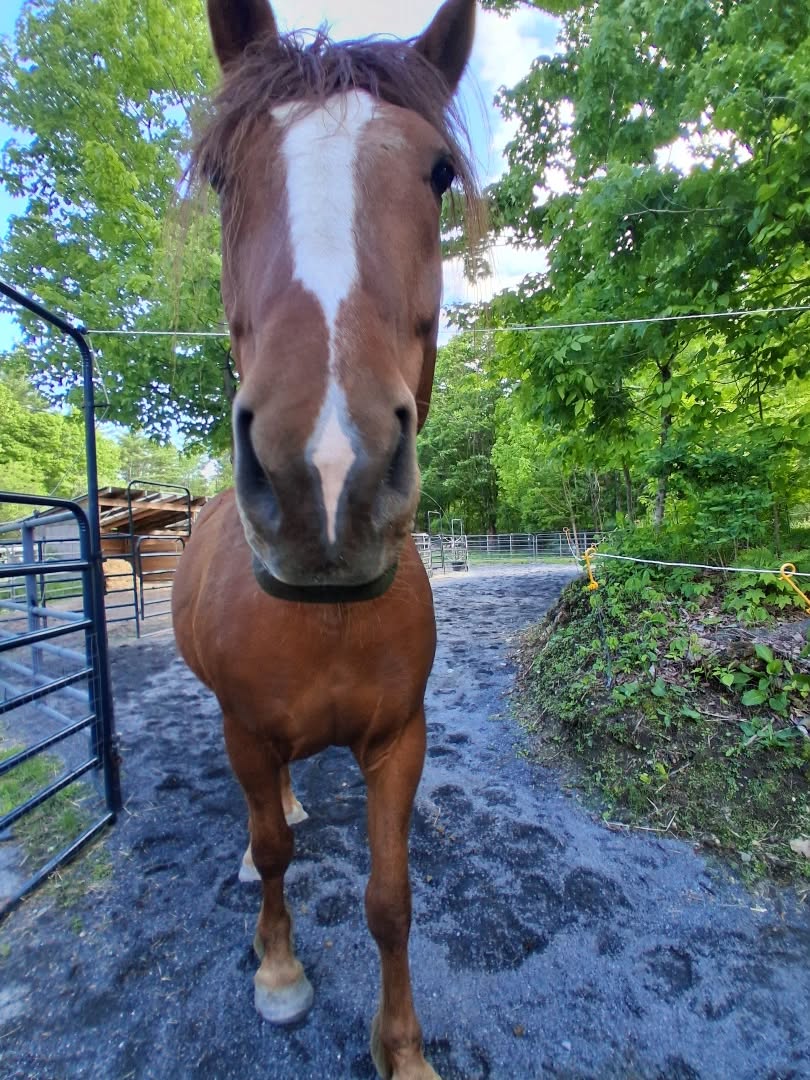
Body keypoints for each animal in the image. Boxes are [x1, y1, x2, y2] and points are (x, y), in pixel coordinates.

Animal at [171, 1, 478, 1076]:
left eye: (437, 173)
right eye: (224, 175)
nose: (330, 473)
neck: (329, 617)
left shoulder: (399, 741)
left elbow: (392, 903)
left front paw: (405, 1051)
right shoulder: (242, 728)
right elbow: (271, 853)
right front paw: (279, 973)